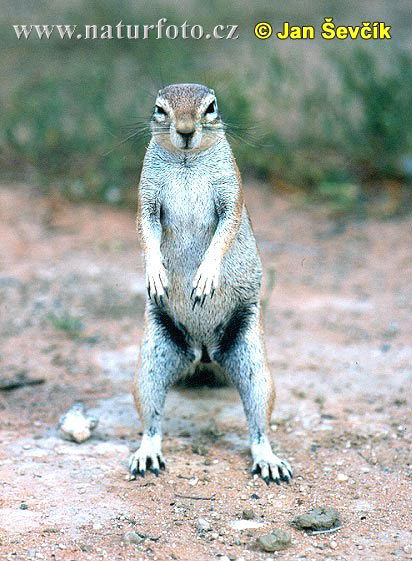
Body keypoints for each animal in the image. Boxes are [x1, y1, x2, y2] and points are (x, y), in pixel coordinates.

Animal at [129, 83, 292, 486]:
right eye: (160, 109)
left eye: (211, 107)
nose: (186, 131)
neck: (187, 162)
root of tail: (203, 351)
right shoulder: (147, 196)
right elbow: (146, 231)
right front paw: (156, 273)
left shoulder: (231, 193)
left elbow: (225, 231)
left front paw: (205, 277)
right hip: (151, 360)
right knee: (152, 419)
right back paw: (147, 453)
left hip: (253, 360)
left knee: (258, 424)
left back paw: (268, 460)